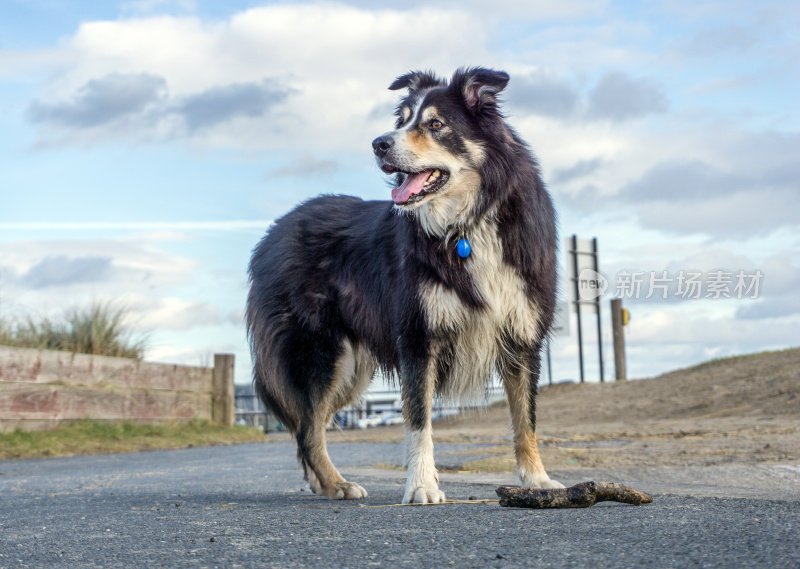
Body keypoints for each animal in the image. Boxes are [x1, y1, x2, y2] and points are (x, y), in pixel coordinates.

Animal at [247, 66, 560, 502]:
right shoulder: (418, 336)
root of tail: (272, 234)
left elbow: (525, 419)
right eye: (403, 121)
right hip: (322, 354)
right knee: (308, 431)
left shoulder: (522, 336)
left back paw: (323, 483)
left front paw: (537, 480)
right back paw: (337, 483)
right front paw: (423, 485)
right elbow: (418, 420)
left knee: (308, 428)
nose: (378, 143)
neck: (468, 223)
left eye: (436, 124)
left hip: (351, 368)